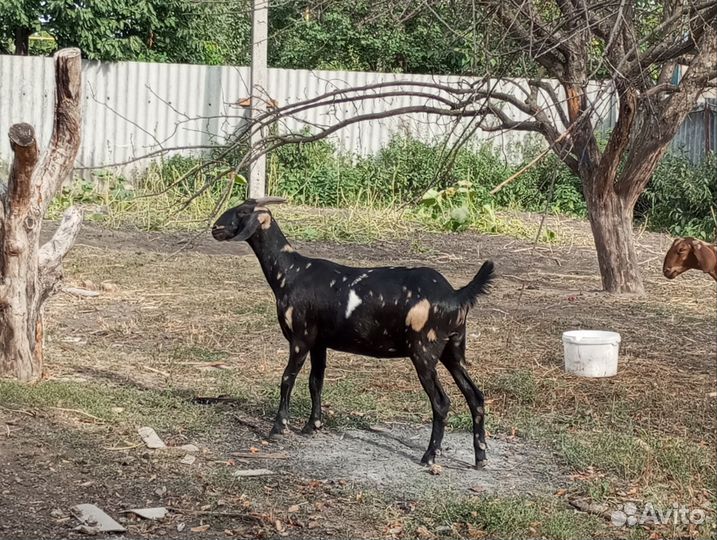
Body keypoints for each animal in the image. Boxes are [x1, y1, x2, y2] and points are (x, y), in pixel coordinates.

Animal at [210, 198, 496, 468]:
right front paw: (312, 426)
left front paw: (278, 427)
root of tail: (456, 295)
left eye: (242, 212)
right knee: (475, 396)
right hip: (453, 349)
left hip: (425, 350)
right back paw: (480, 457)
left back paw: (429, 456)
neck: (291, 272)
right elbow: (315, 381)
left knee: (441, 402)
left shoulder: (301, 337)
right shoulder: (319, 342)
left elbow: (287, 379)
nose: (215, 229)